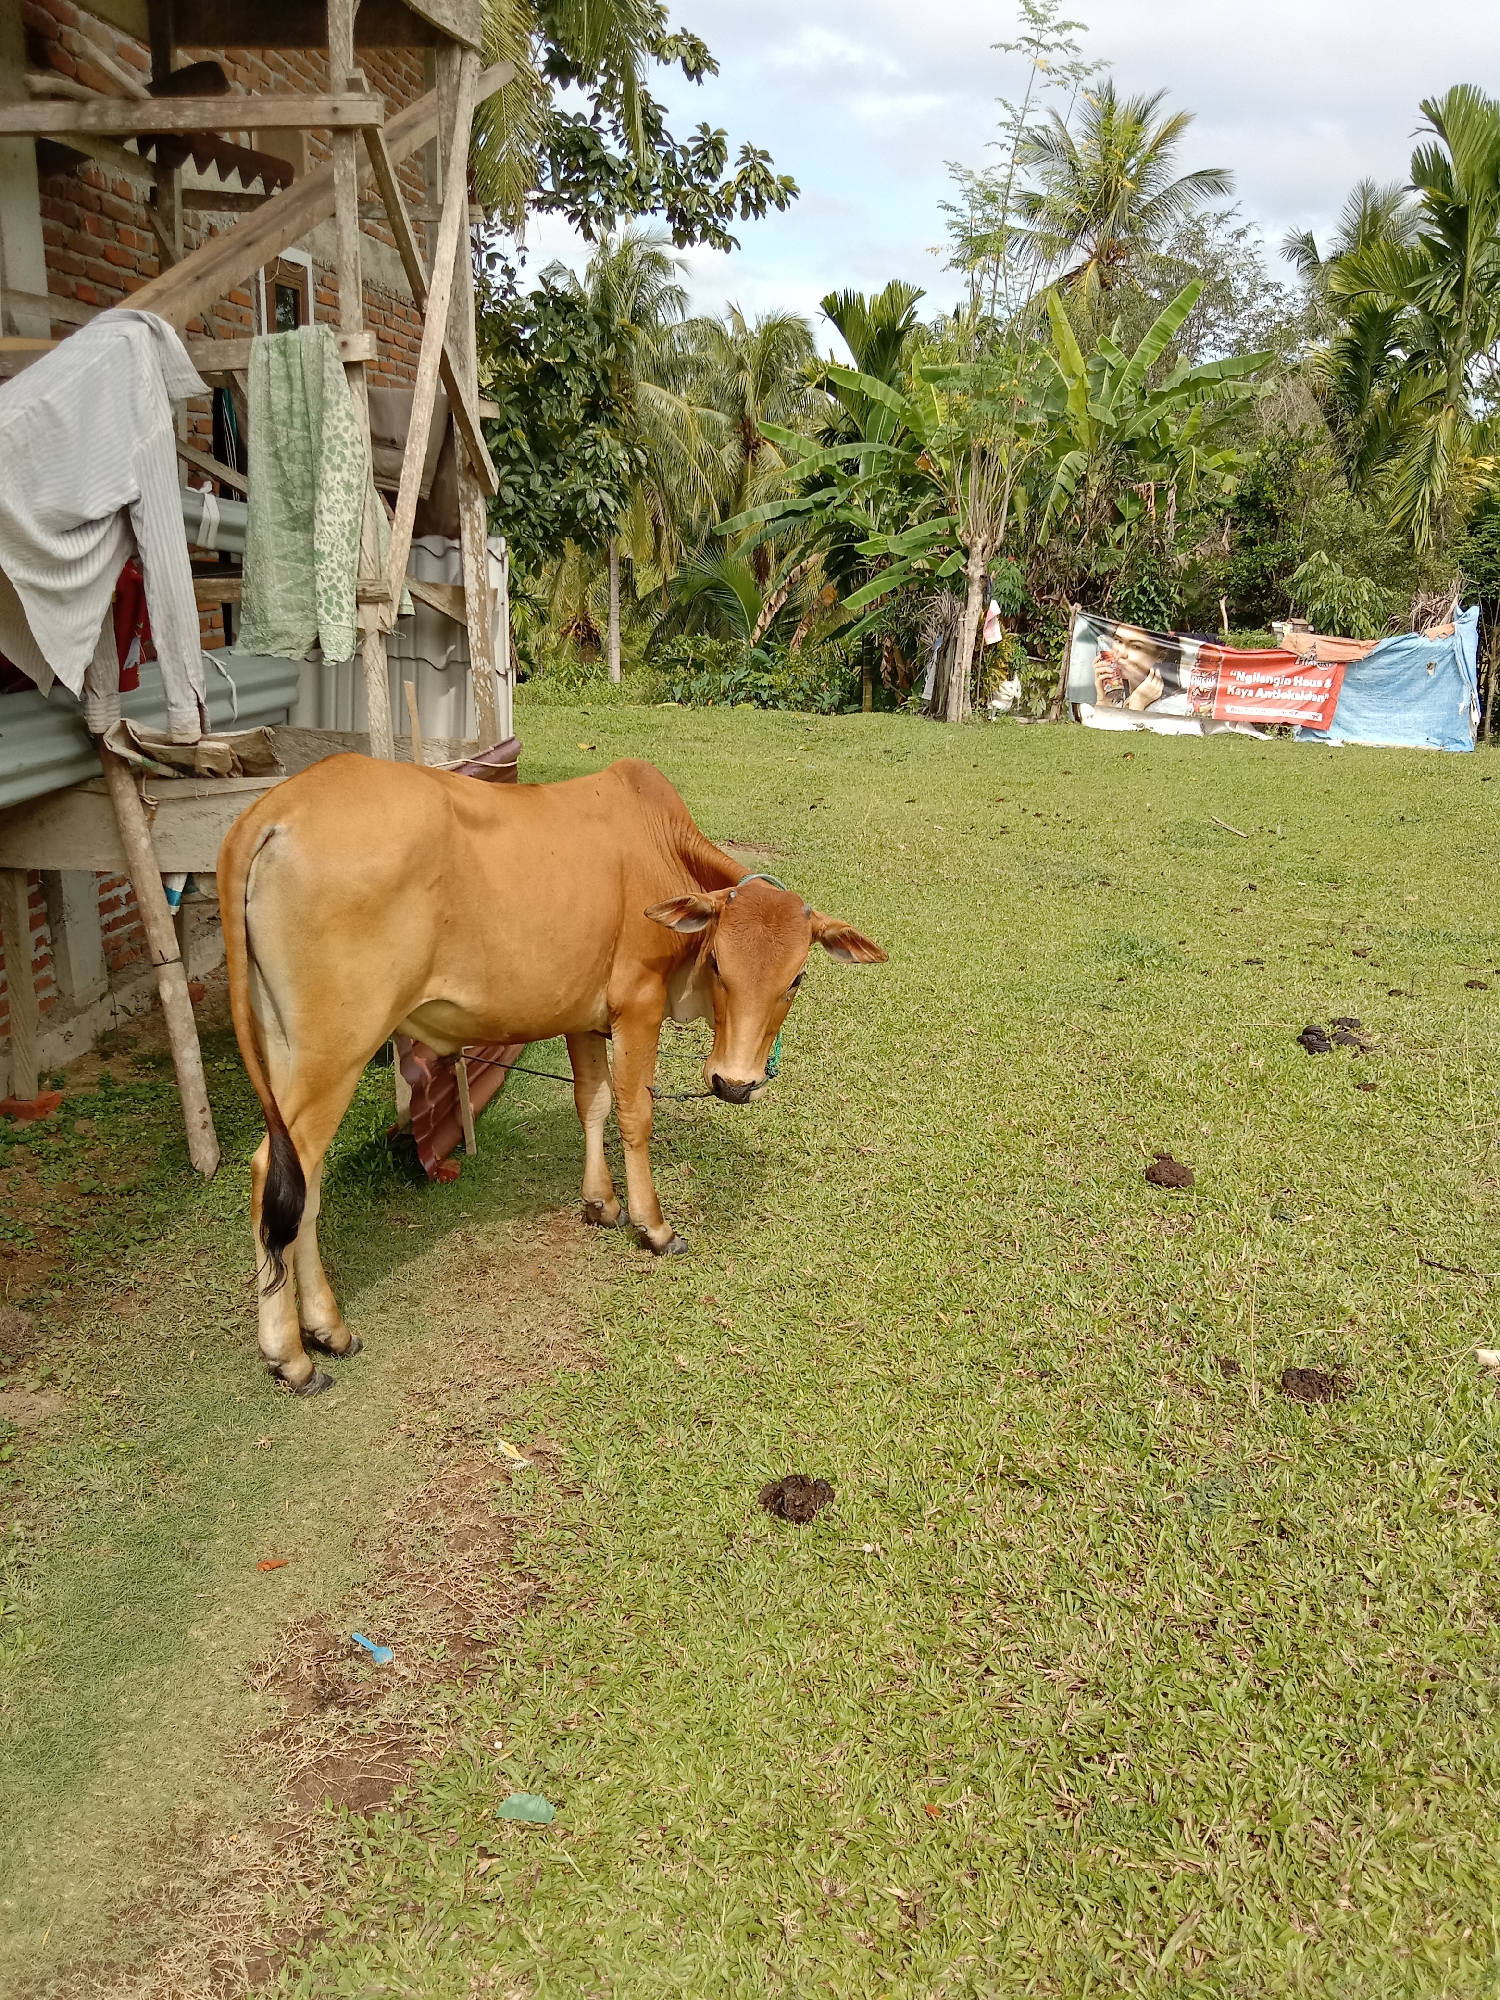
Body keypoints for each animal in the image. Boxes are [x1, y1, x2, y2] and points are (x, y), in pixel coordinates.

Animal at [218, 755, 886, 1394]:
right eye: (718, 962)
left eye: (796, 978)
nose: (735, 1082)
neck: (659, 848)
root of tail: (275, 808)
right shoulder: (637, 1005)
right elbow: (634, 1112)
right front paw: (653, 1226)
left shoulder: (586, 1018)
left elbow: (593, 1102)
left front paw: (601, 1203)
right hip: (335, 1052)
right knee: (275, 1171)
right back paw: (291, 1358)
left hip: (287, 1047)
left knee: (302, 1185)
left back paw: (327, 1332)